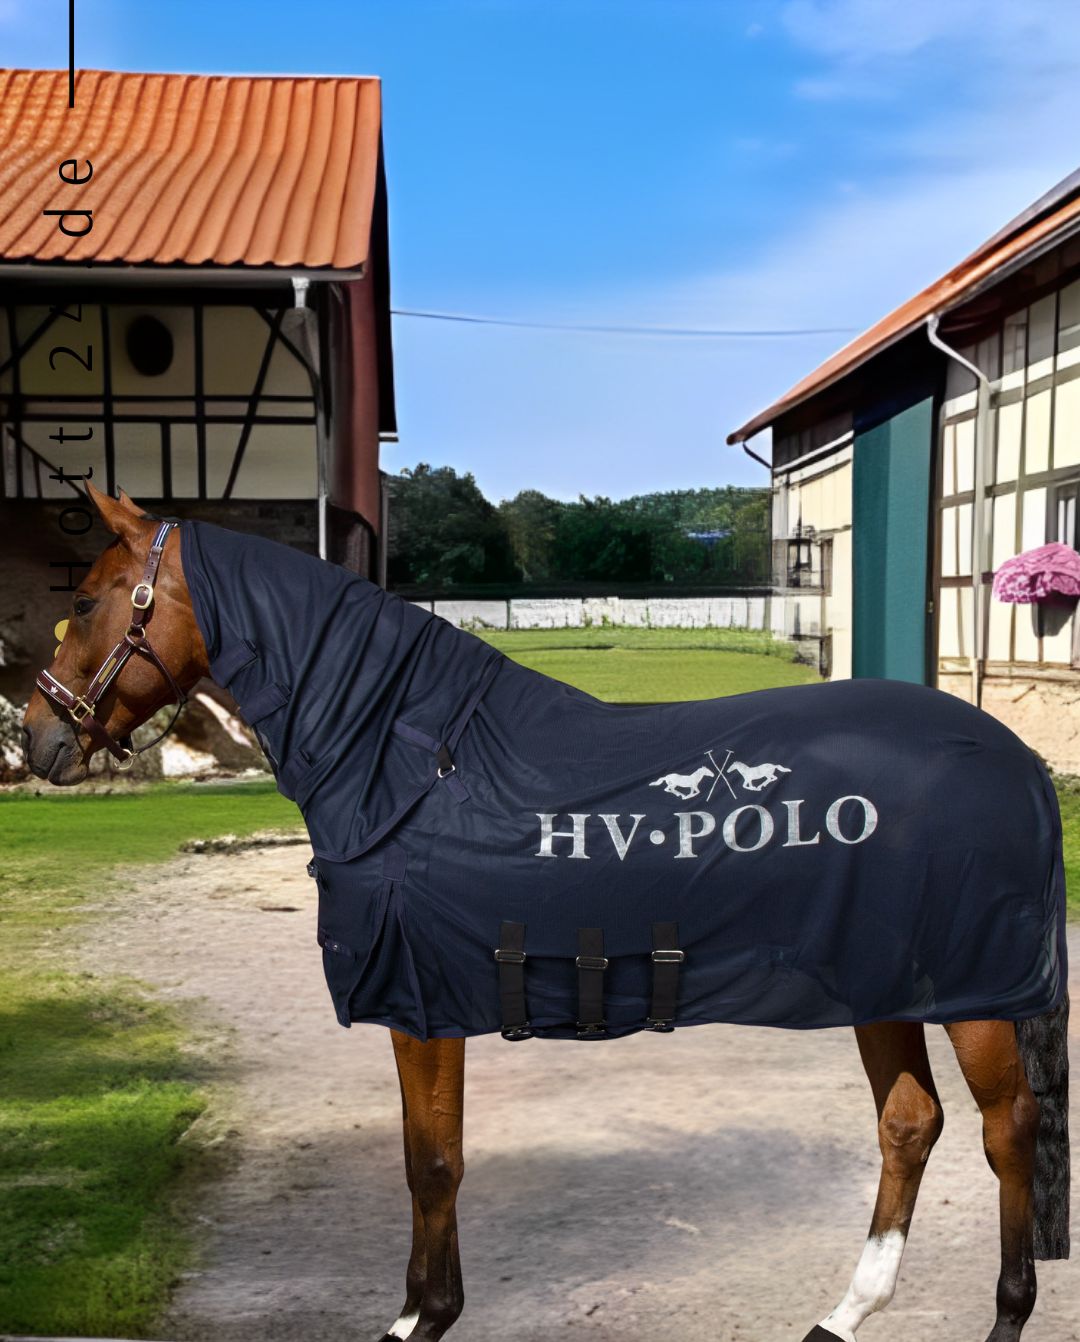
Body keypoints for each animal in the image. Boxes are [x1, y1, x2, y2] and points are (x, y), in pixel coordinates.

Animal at [22, 484, 1071, 1342]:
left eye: (88, 599)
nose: (35, 739)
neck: (412, 761)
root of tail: (1015, 759)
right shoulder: (428, 1002)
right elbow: (432, 1155)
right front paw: (429, 1310)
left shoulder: (423, 1004)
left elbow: (431, 1162)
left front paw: (419, 1319)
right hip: (882, 979)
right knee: (910, 1123)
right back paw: (844, 1314)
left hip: (972, 991)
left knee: (1007, 1128)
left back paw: (1005, 1314)